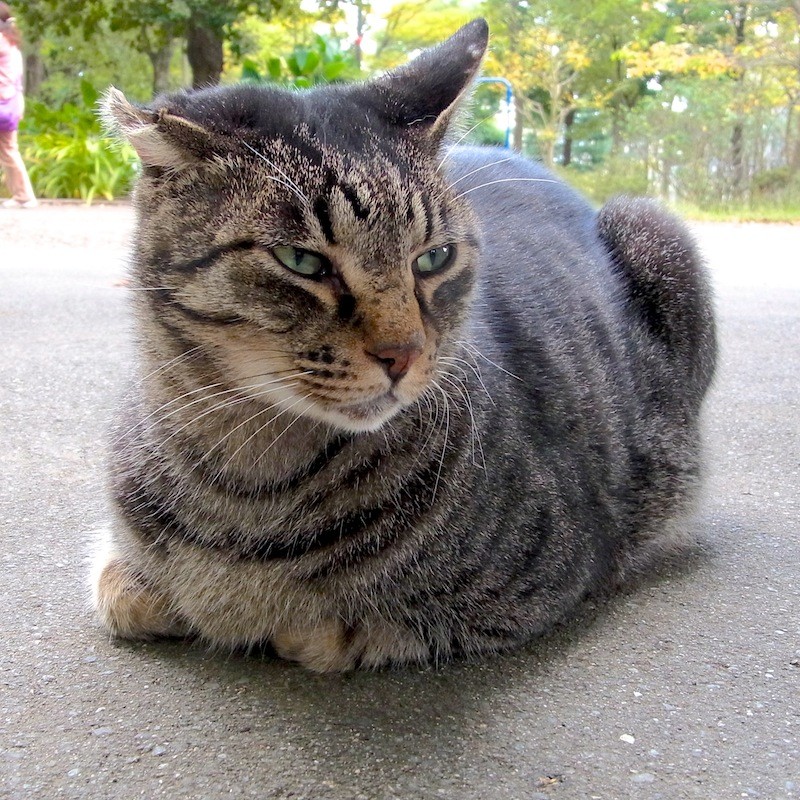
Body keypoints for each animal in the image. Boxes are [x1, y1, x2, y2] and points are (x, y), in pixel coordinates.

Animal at [90, 18, 716, 672]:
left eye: (433, 258)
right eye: (301, 261)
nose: (404, 354)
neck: (247, 481)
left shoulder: (549, 571)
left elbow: (330, 631)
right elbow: (123, 589)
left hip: (656, 233)